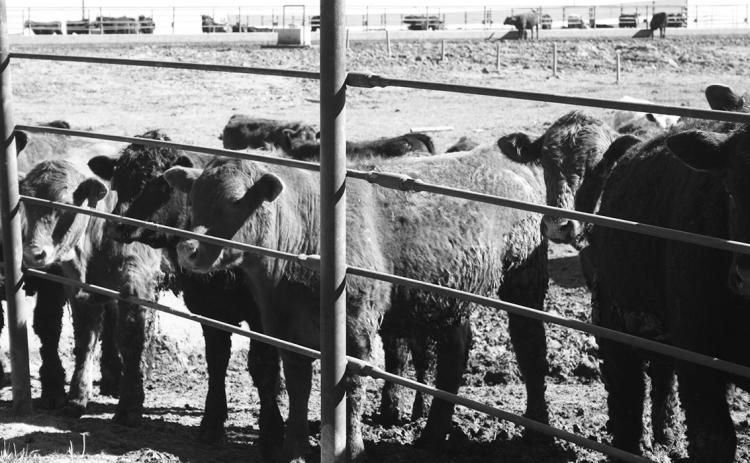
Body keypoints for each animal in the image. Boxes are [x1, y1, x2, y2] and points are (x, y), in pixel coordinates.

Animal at [19, 132, 164, 427]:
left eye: (64, 204)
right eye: (25, 201)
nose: (34, 253)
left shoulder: (137, 279)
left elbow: (132, 334)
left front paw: (130, 405)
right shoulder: (77, 288)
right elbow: (82, 338)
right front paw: (75, 397)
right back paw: (111, 377)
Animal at [87, 134, 285, 455]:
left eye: (161, 184)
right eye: (118, 180)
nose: (118, 224)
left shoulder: (262, 318)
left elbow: (263, 366)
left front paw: (272, 432)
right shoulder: (210, 312)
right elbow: (217, 361)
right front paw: (211, 424)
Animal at [164, 145, 551, 462]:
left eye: (235, 200)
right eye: (193, 199)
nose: (188, 248)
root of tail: (502, 156)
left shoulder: (354, 328)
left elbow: (349, 387)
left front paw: (350, 449)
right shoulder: (285, 328)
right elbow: (298, 385)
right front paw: (293, 450)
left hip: (524, 279)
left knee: (530, 345)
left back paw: (536, 429)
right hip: (451, 299)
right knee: (455, 353)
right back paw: (432, 436)